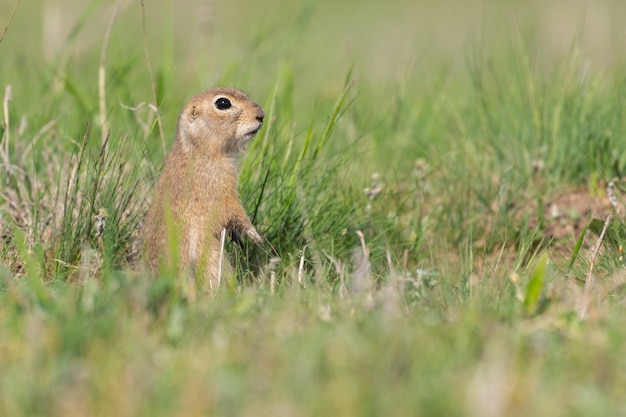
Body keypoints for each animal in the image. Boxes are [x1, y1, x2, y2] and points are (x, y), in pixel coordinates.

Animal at [143, 86, 264, 290]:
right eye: (223, 103)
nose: (261, 115)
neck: (200, 148)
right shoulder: (223, 188)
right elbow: (237, 213)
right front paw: (255, 236)